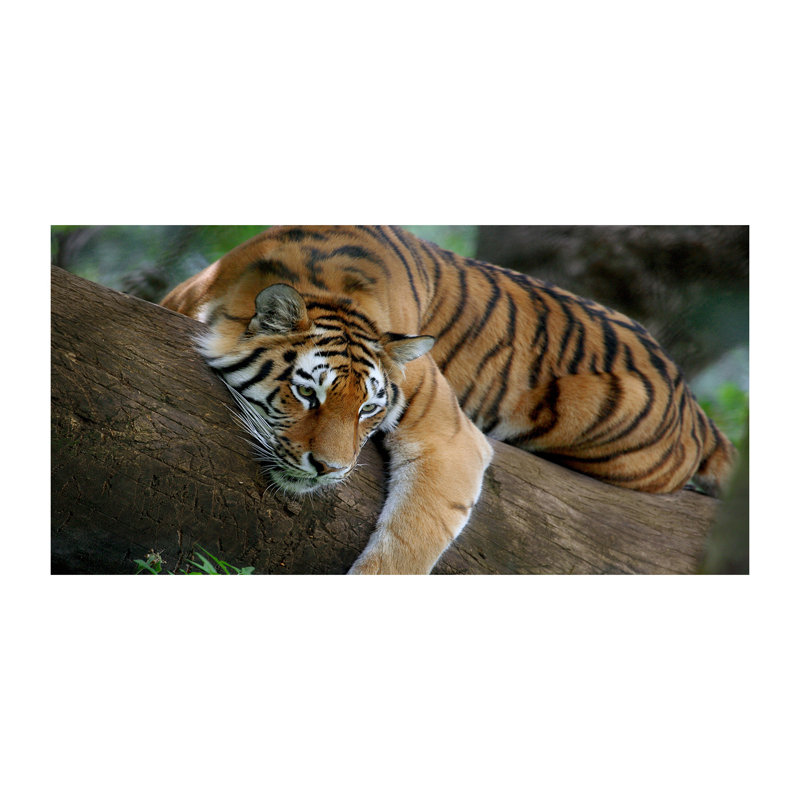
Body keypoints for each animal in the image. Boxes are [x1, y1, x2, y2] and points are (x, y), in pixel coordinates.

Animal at [160, 225, 736, 574]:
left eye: (368, 409)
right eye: (306, 394)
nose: (330, 469)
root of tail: (694, 405)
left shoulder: (451, 436)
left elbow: (408, 541)